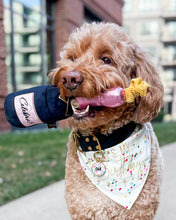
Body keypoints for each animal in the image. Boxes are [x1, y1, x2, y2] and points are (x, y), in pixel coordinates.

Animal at [49, 22, 164, 220]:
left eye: (105, 59)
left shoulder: (140, 212)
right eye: (72, 58)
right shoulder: (83, 208)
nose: (69, 78)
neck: (103, 143)